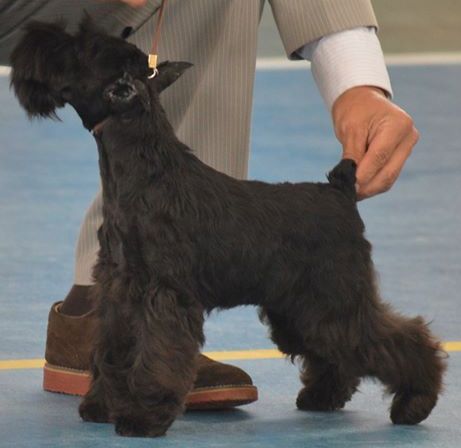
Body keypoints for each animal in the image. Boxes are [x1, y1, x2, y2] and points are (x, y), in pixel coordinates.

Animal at [10, 17, 446, 438]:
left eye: (80, 49)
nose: (32, 38)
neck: (145, 171)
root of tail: (340, 191)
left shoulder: (162, 296)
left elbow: (154, 357)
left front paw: (144, 416)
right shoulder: (118, 292)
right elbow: (114, 352)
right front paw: (102, 405)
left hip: (333, 301)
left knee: (401, 340)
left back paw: (415, 402)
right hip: (298, 311)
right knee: (337, 355)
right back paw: (322, 397)